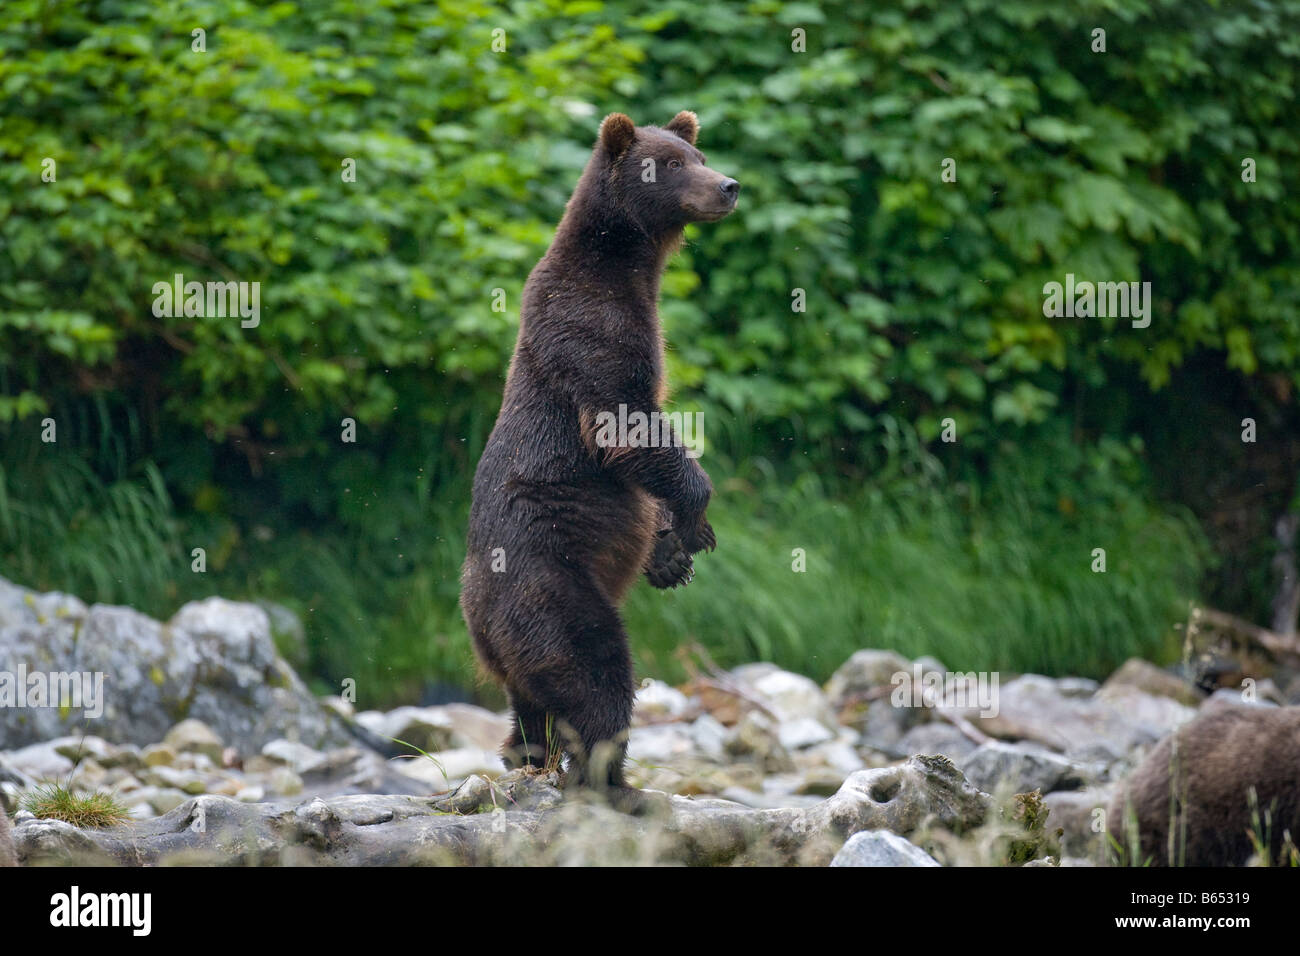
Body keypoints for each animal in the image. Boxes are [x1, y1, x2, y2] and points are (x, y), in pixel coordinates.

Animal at [462, 110, 738, 806]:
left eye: (699, 155)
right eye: (671, 165)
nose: (729, 186)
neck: (627, 265)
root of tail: (476, 617)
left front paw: (670, 555)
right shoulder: (592, 330)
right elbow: (628, 425)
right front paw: (697, 518)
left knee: (529, 709)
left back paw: (531, 759)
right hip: (549, 585)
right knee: (597, 674)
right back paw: (614, 782)